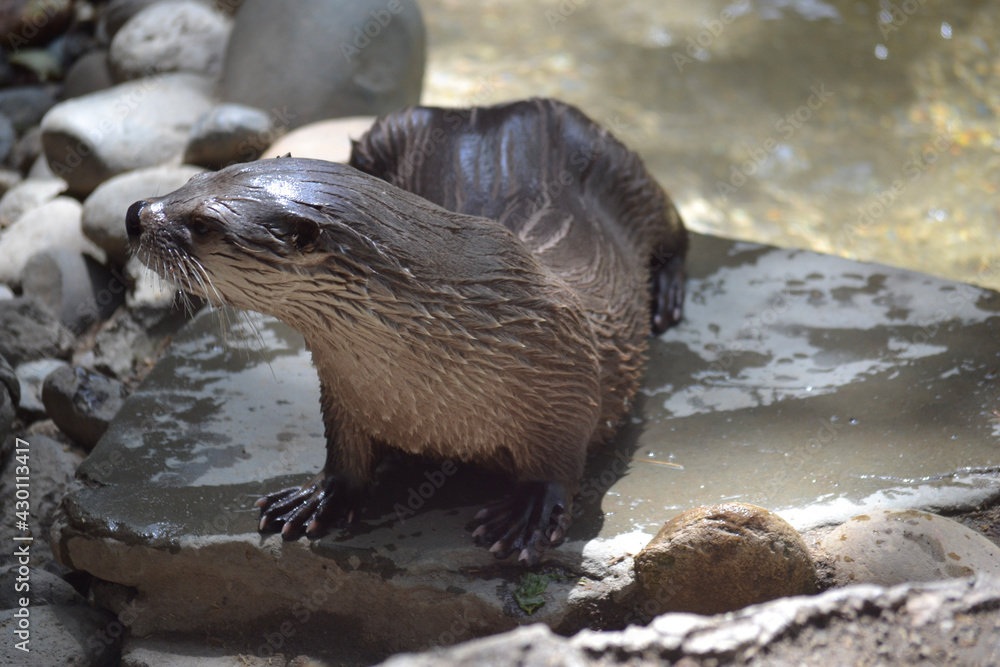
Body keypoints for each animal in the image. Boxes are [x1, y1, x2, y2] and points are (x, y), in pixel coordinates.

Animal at [125, 98, 687, 564]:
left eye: (202, 223)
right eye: (196, 180)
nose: (135, 213)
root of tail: (497, 110)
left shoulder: (565, 369)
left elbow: (562, 457)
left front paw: (529, 512)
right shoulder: (343, 391)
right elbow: (344, 451)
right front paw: (320, 497)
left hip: (624, 169)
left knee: (673, 224)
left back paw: (668, 293)